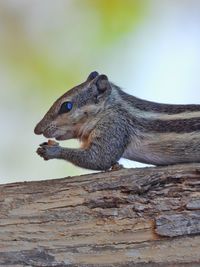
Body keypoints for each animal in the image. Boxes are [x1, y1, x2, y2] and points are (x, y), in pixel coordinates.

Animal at [34, 71, 200, 172]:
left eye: (66, 106)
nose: (37, 129)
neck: (111, 108)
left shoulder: (115, 127)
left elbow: (99, 159)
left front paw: (53, 151)